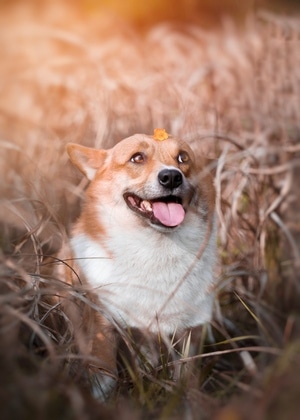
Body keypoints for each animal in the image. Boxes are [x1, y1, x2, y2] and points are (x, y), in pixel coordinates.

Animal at [58, 128, 217, 398]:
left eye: (183, 158)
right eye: (137, 158)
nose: (171, 177)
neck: (155, 249)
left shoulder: (190, 332)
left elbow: (186, 383)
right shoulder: (105, 325)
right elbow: (105, 378)